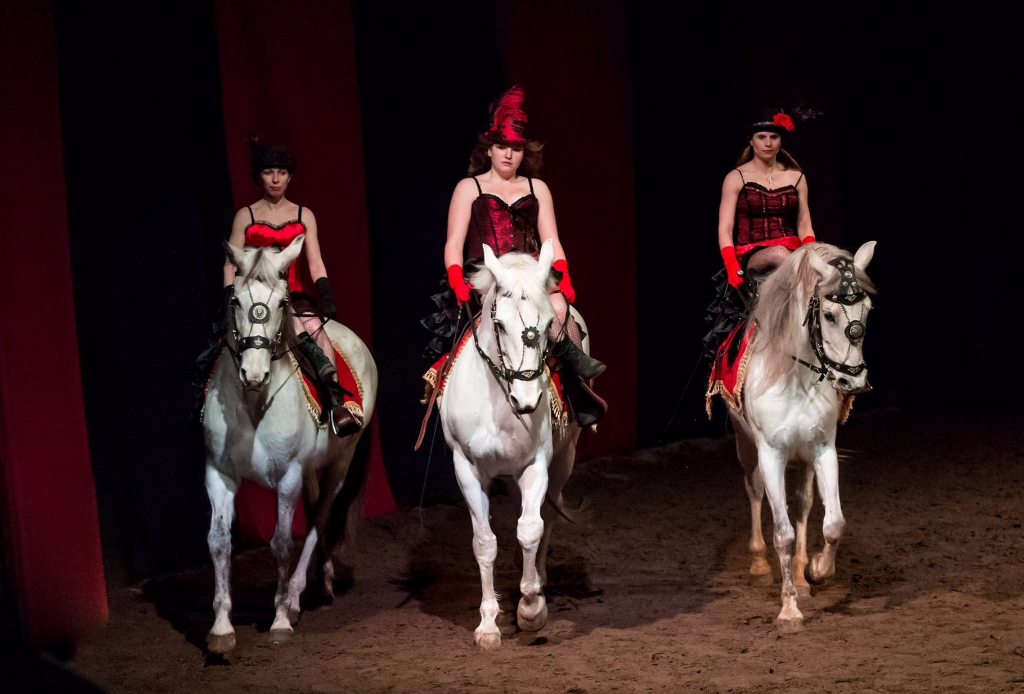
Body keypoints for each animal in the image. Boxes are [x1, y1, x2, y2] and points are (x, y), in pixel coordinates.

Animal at [199, 236, 376, 655]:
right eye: (235, 300)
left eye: (281, 303)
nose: (254, 373)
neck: (254, 403)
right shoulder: (218, 474)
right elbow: (219, 542)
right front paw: (221, 628)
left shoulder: (288, 476)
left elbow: (281, 542)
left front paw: (279, 617)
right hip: (310, 468)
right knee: (314, 513)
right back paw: (321, 580)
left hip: (339, 464)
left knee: (319, 518)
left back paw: (296, 596)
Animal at [440, 240, 585, 651]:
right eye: (500, 325)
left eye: (548, 324)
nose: (528, 400)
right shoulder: (467, 468)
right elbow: (485, 542)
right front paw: (489, 623)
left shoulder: (535, 466)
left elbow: (530, 529)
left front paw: (531, 608)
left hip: (564, 461)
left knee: (547, 516)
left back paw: (538, 579)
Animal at [733, 241, 876, 634]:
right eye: (828, 315)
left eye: (867, 311)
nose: (853, 380)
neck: (794, 377)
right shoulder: (771, 454)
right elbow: (782, 534)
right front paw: (789, 611)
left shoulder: (823, 450)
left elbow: (833, 523)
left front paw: (815, 570)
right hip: (745, 445)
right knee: (754, 491)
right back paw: (758, 563)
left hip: (805, 459)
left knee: (803, 504)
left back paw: (799, 575)